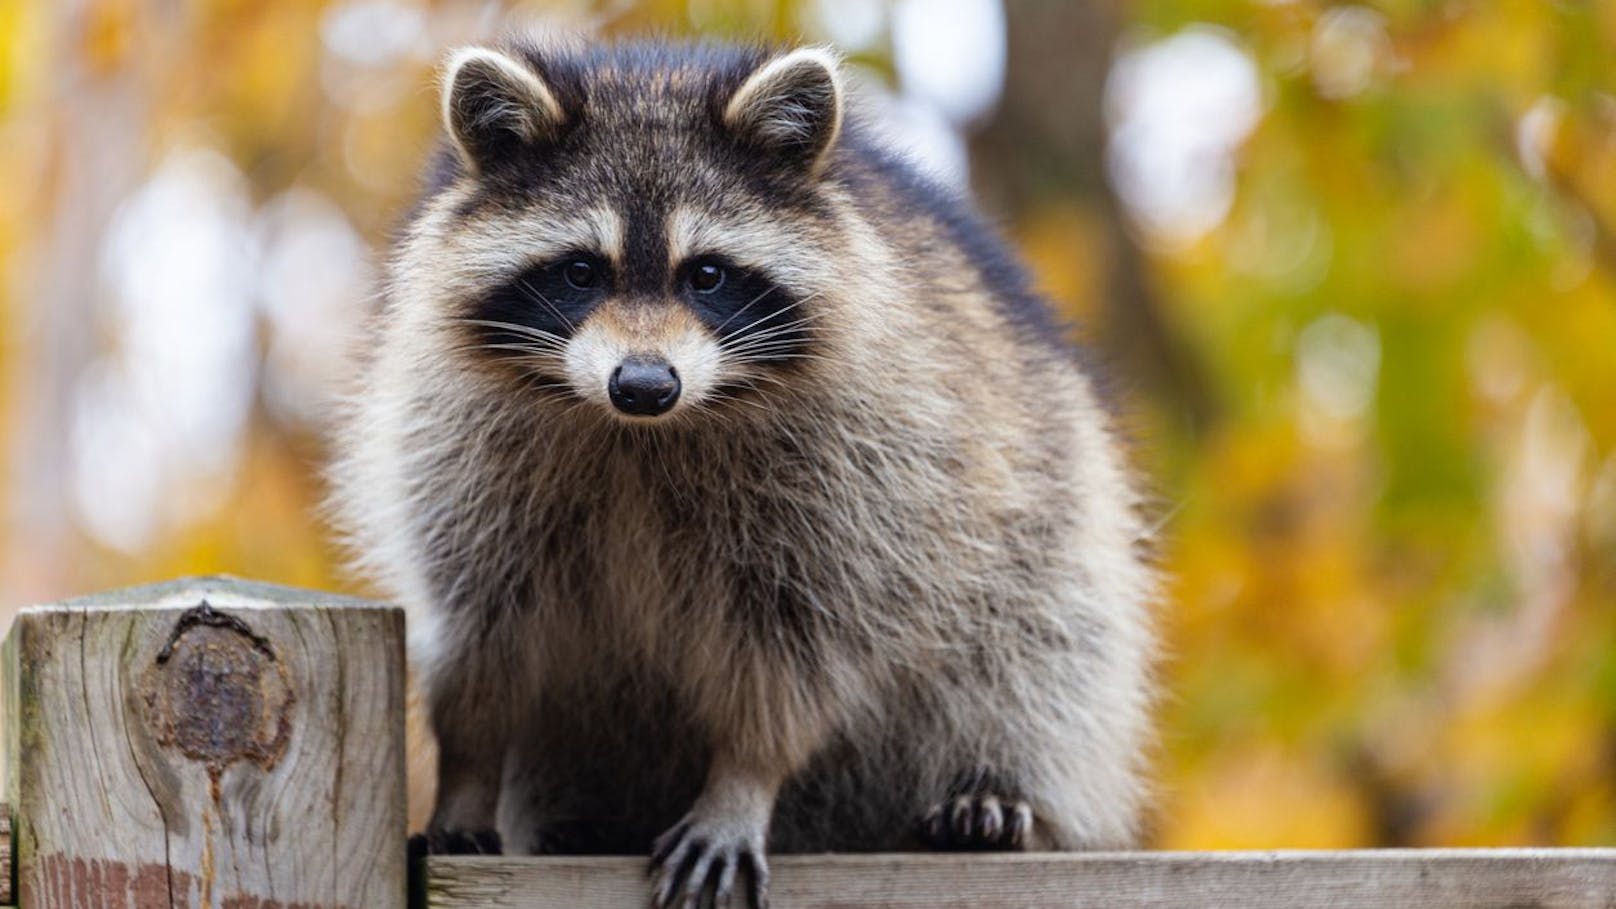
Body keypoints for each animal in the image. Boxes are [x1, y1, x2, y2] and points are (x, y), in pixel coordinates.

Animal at [334, 37, 1157, 905]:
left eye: (707, 274)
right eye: (581, 271)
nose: (644, 383)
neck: (640, 433)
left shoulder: (868, 473)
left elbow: (797, 651)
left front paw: (743, 778)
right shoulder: (460, 458)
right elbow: (482, 639)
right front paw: (466, 772)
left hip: (1052, 525)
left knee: (1041, 649)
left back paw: (997, 790)